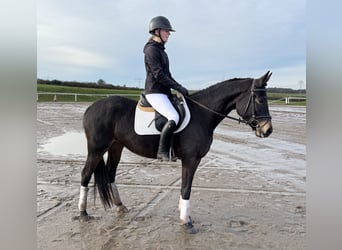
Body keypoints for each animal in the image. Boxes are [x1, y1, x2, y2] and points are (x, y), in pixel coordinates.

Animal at [77, 70, 272, 234]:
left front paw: (184, 215)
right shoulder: (191, 159)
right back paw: (83, 213)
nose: (268, 130)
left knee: (111, 174)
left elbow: (184, 186)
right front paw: (186, 222)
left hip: (116, 146)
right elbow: (186, 188)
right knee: (85, 174)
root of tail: (91, 108)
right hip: (96, 149)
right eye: (260, 100)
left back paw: (119, 206)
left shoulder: (191, 160)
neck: (202, 114)